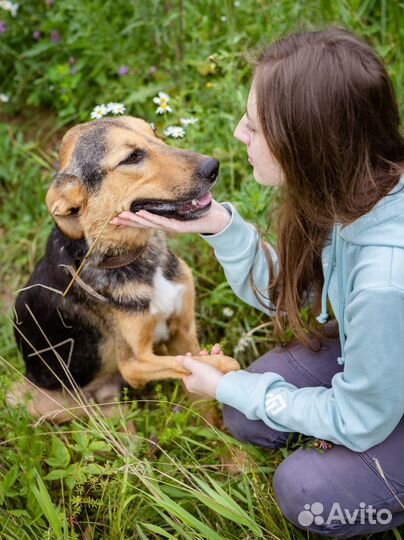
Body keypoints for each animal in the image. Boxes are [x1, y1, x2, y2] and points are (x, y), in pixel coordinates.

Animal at [10, 116, 240, 424]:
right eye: (131, 158)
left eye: (155, 133)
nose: (213, 166)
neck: (134, 258)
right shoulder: (135, 363)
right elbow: (189, 364)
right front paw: (222, 363)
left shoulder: (183, 329)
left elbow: (202, 400)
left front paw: (221, 436)